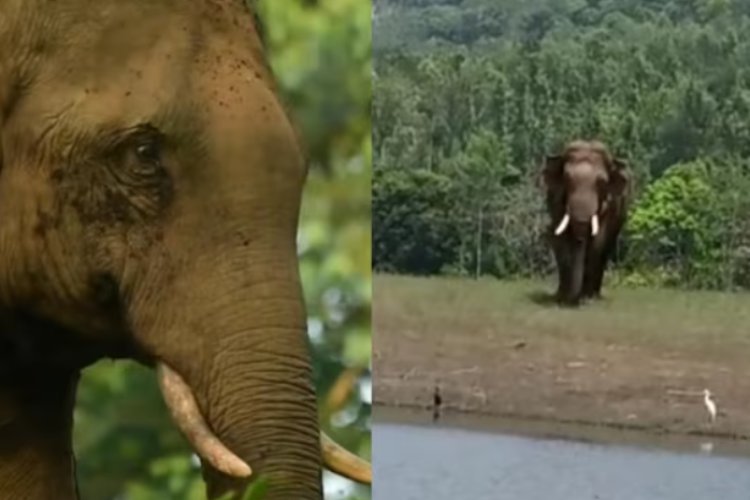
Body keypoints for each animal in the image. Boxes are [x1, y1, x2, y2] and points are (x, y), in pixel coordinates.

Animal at [542, 140, 632, 306]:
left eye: (602, 182)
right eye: (567, 179)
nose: (573, 301)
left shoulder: (611, 205)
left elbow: (598, 242)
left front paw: (587, 300)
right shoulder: (555, 200)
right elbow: (561, 238)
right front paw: (562, 298)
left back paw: (594, 296)